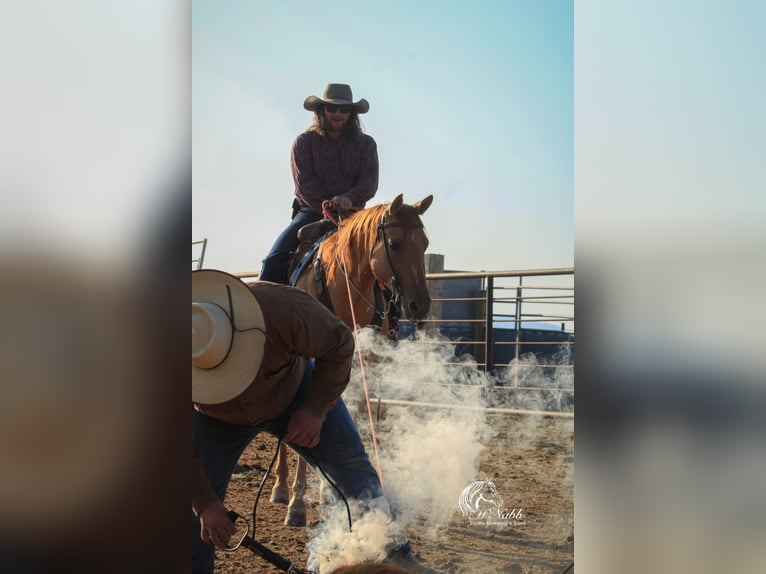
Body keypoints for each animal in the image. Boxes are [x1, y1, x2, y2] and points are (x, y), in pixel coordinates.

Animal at [272, 194, 436, 528]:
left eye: (425, 244)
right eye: (395, 244)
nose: (420, 305)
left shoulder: (367, 361)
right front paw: (297, 502)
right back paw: (280, 488)